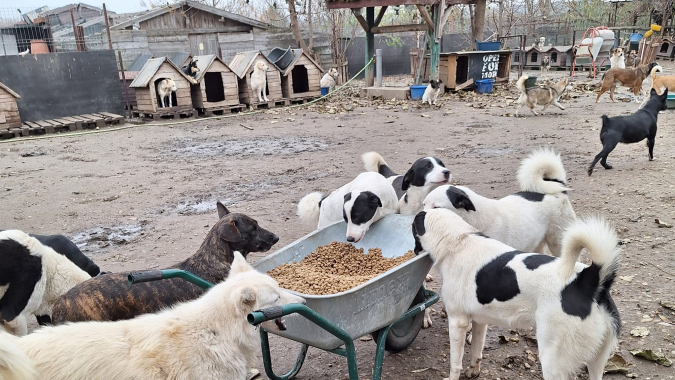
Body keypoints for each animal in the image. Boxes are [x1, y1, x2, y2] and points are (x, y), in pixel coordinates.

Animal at [410, 208, 620, 380]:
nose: (413, 251)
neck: (458, 241)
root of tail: (590, 279)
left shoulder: (457, 322)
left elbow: (455, 363)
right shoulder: (480, 321)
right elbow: (476, 351)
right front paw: (473, 372)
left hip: (552, 360)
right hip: (597, 362)